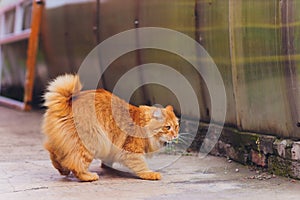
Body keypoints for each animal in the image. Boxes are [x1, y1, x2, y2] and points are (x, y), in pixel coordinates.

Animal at [42, 74, 178, 182]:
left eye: (177, 127)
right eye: (168, 127)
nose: (176, 135)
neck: (142, 124)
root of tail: (67, 102)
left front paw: (108, 167)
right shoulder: (131, 151)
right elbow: (141, 165)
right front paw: (150, 174)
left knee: (54, 153)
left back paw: (63, 170)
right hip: (91, 142)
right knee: (76, 164)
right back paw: (88, 176)